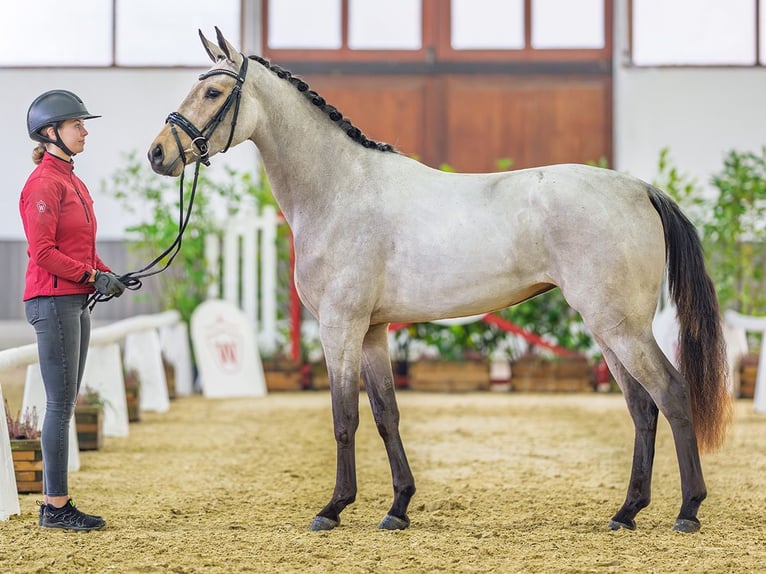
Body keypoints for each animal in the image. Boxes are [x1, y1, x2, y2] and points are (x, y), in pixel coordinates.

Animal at [148, 28, 732, 536]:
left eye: (213, 90)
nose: (159, 153)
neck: (340, 189)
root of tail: (639, 189)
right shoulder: (372, 332)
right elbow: (386, 415)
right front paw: (398, 508)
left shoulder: (340, 328)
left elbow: (344, 418)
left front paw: (333, 508)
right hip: (609, 329)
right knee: (642, 408)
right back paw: (627, 512)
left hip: (621, 327)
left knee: (671, 394)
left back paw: (688, 510)